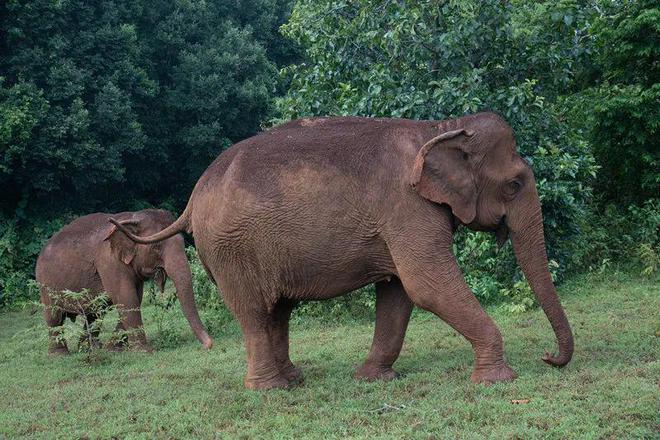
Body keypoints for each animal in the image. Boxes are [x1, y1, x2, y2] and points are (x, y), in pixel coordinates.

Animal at [36, 209, 213, 354]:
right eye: (156, 246)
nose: (209, 345)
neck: (132, 218)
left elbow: (134, 298)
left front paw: (114, 348)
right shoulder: (108, 261)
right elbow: (126, 297)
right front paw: (144, 351)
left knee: (93, 314)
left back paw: (89, 349)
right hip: (44, 283)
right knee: (54, 316)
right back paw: (60, 354)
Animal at [112, 112, 572, 388]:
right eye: (513, 184)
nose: (549, 357)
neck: (438, 127)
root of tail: (192, 197)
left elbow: (398, 293)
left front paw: (374, 379)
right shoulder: (407, 208)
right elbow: (425, 286)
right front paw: (499, 379)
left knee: (278, 311)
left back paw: (294, 378)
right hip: (232, 249)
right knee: (255, 313)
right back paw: (270, 389)